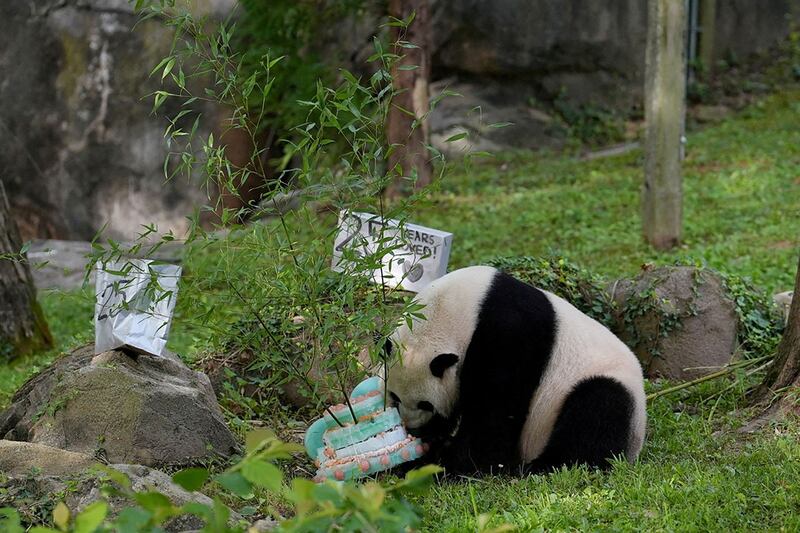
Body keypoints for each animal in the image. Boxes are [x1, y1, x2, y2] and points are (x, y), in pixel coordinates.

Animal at [384, 264, 648, 476]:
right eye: (395, 396)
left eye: (426, 404)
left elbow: (494, 410)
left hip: (604, 385)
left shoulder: (509, 336)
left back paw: (536, 467)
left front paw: (448, 463)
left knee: (596, 415)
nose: (412, 427)